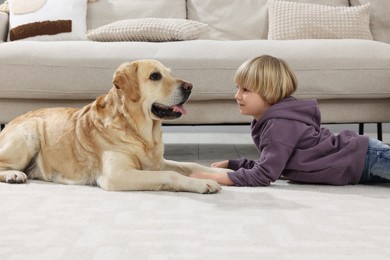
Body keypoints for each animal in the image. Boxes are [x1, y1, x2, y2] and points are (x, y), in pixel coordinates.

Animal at [0, 59, 225, 193]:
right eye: (155, 76)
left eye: (169, 73)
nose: (190, 86)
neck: (140, 133)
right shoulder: (117, 175)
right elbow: (171, 174)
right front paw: (202, 183)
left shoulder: (157, 163)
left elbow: (192, 165)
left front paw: (221, 172)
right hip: (30, 131)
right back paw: (14, 175)